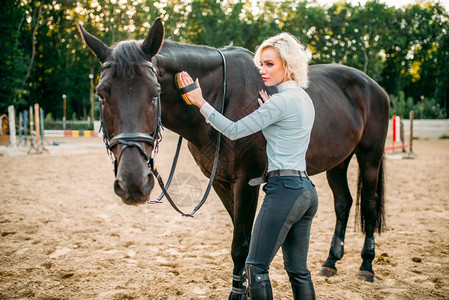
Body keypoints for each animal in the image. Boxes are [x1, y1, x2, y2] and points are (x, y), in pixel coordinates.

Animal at [79, 18, 388, 298]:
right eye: (102, 94)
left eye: (155, 93)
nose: (133, 183)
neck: (221, 97)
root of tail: (373, 86)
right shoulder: (220, 182)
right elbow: (245, 239)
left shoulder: (247, 181)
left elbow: (241, 244)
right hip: (338, 162)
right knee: (343, 203)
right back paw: (331, 262)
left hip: (369, 157)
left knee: (369, 205)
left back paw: (366, 266)